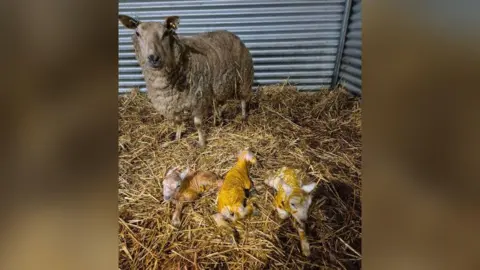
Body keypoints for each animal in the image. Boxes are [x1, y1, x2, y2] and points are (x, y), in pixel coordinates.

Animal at [117, 14, 255, 148]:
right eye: (137, 33)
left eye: (166, 33)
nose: (153, 58)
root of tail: (230, 33)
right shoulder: (173, 102)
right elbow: (178, 122)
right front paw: (177, 139)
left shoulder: (198, 98)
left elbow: (198, 124)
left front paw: (201, 143)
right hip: (221, 84)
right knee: (221, 103)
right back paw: (219, 118)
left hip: (244, 77)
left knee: (243, 100)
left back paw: (243, 118)